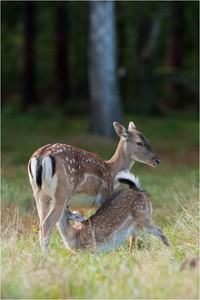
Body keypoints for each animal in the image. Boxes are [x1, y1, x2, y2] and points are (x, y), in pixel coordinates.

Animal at [27, 120, 159, 252]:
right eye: (139, 143)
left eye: (147, 139)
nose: (157, 160)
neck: (111, 173)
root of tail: (41, 157)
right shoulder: (103, 196)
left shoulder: (79, 207)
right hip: (62, 193)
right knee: (46, 224)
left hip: (40, 194)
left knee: (41, 223)